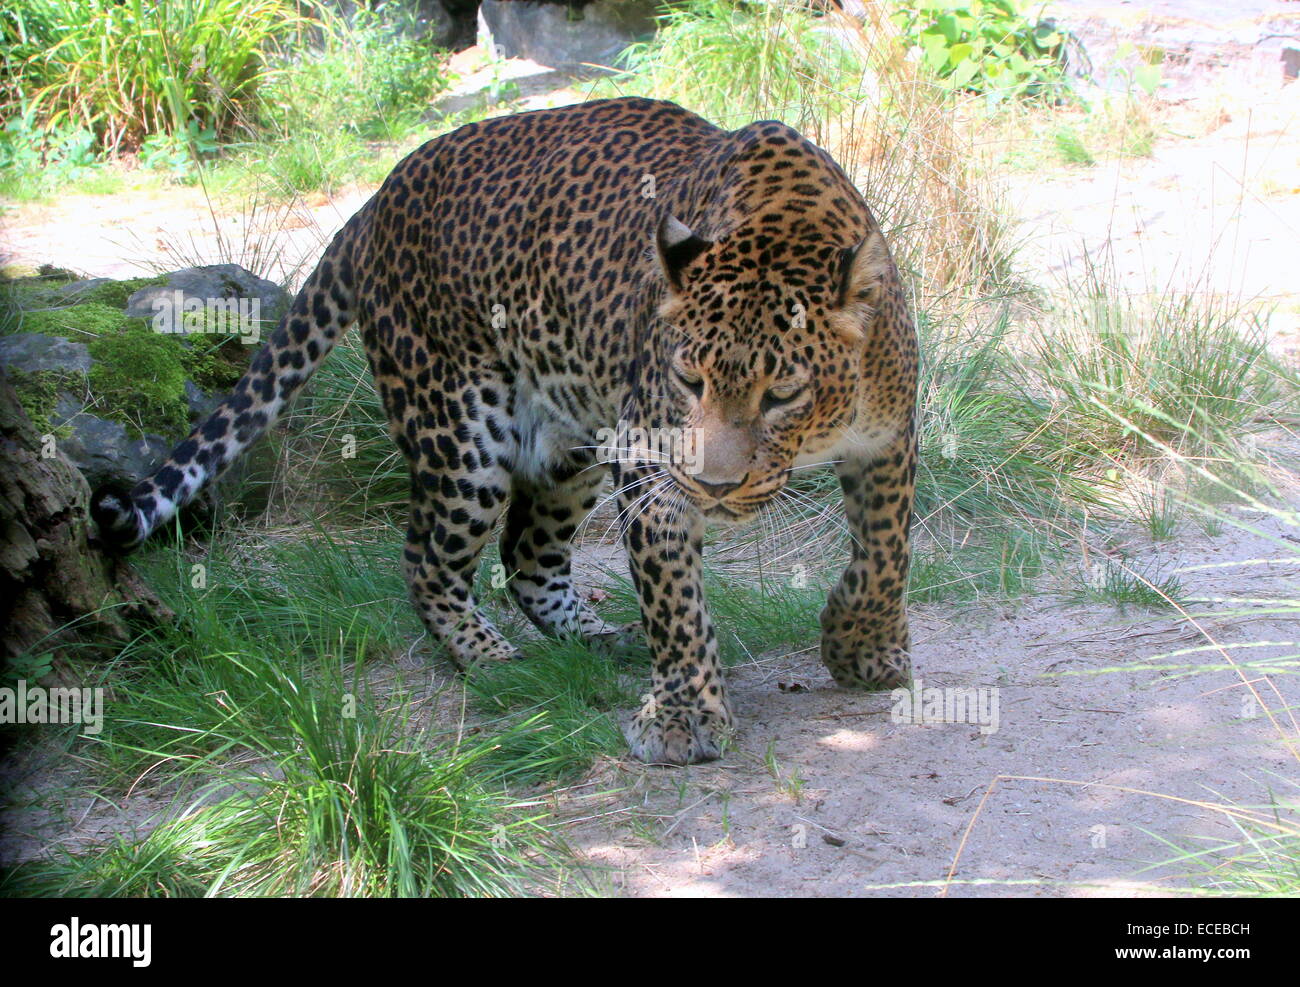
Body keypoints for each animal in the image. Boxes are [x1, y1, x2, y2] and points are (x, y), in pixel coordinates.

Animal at [91, 97, 919, 766]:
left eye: (784, 393)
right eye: (689, 381)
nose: (713, 485)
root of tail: (382, 193)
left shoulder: (889, 436)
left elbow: (885, 554)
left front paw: (862, 647)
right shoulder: (651, 460)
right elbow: (676, 599)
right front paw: (685, 712)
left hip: (570, 435)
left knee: (526, 554)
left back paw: (599, 636)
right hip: (462, 430)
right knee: (426, 557)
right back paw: (488, 654)